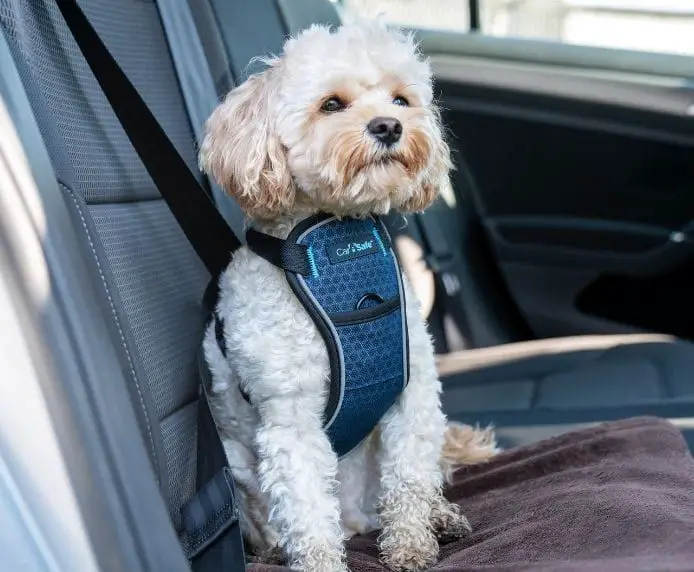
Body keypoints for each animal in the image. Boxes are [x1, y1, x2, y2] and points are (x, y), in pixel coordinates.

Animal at [198, 20, 498, 568]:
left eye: (401, 99)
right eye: (331, 104)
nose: (389, 126)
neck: (337, 242)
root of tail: (357, 518)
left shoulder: (412, 392)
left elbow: (408, 479)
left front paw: (411, 542)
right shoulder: (291, 420)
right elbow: (308, 511)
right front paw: (318, 560)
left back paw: (438, 517)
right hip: (235, 460)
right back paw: (276, 548)